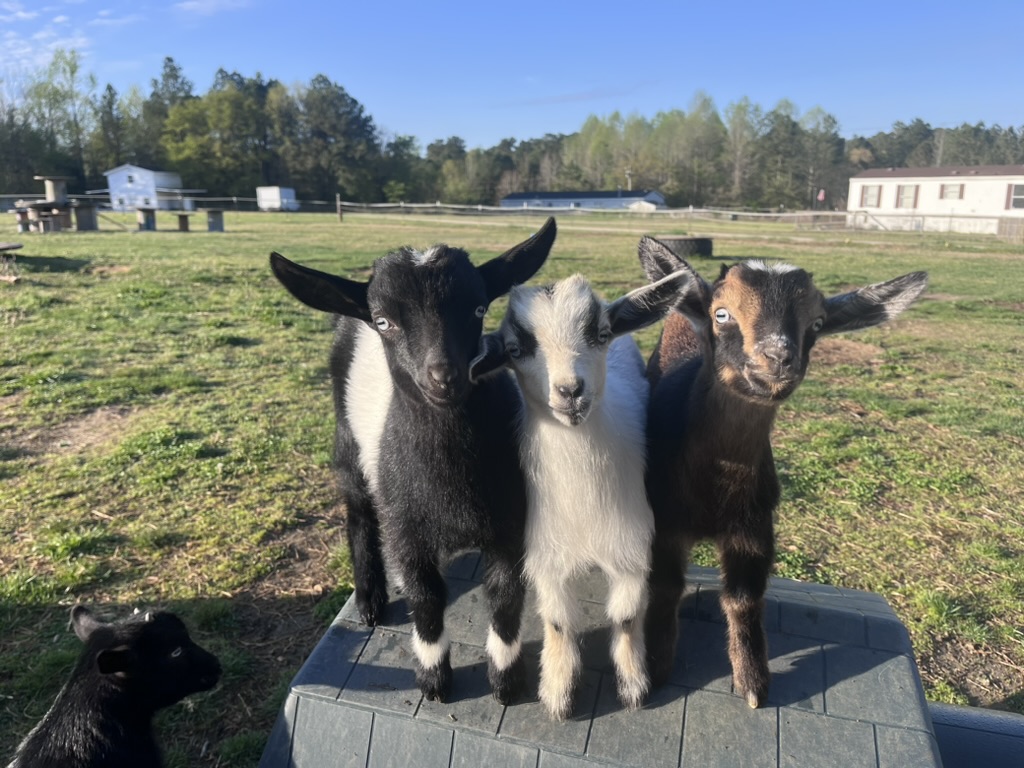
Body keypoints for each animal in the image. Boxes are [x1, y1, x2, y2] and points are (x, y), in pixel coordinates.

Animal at [270, 218, 556, 704]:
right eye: (385, 322)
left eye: (479, 308)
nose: (444, 377)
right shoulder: (405, 529)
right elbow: (426, 597)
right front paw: (434, 678)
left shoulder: (510, 522)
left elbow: (504, 595)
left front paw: (505, 679)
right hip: (349, 444)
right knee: (358, 511)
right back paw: (369, 599)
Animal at [471, 270, 688, 719]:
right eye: (515, 349)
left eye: (601, 334)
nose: (570, 391)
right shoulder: (545, 557)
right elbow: (558, 622)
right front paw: (557, 690)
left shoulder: (631, 553)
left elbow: (626, 618)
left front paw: (633, 686)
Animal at [637, 238, 928, 708]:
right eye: (722, 313)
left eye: (818, 322)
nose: (776, 358)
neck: (717, 491)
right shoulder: (663, 520)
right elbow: (665, 587)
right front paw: (657, 667)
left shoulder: (755, 526)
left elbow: (744, 598)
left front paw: (754, 683)